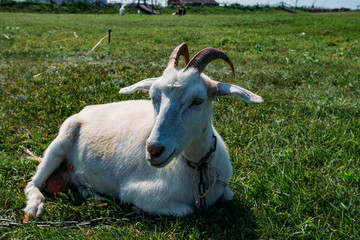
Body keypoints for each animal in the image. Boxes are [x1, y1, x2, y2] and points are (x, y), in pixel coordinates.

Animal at [23, 43, 264, 219]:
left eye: (197, 100)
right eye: (152, 96)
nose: (154, 150)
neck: (198, 171)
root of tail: (86, 109)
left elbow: (229, 195)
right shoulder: (135, 191)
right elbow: (186, 210)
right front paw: (135, 208)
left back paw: (95, 197)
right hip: (59, 143)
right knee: (33, 183)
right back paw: (34, 207)